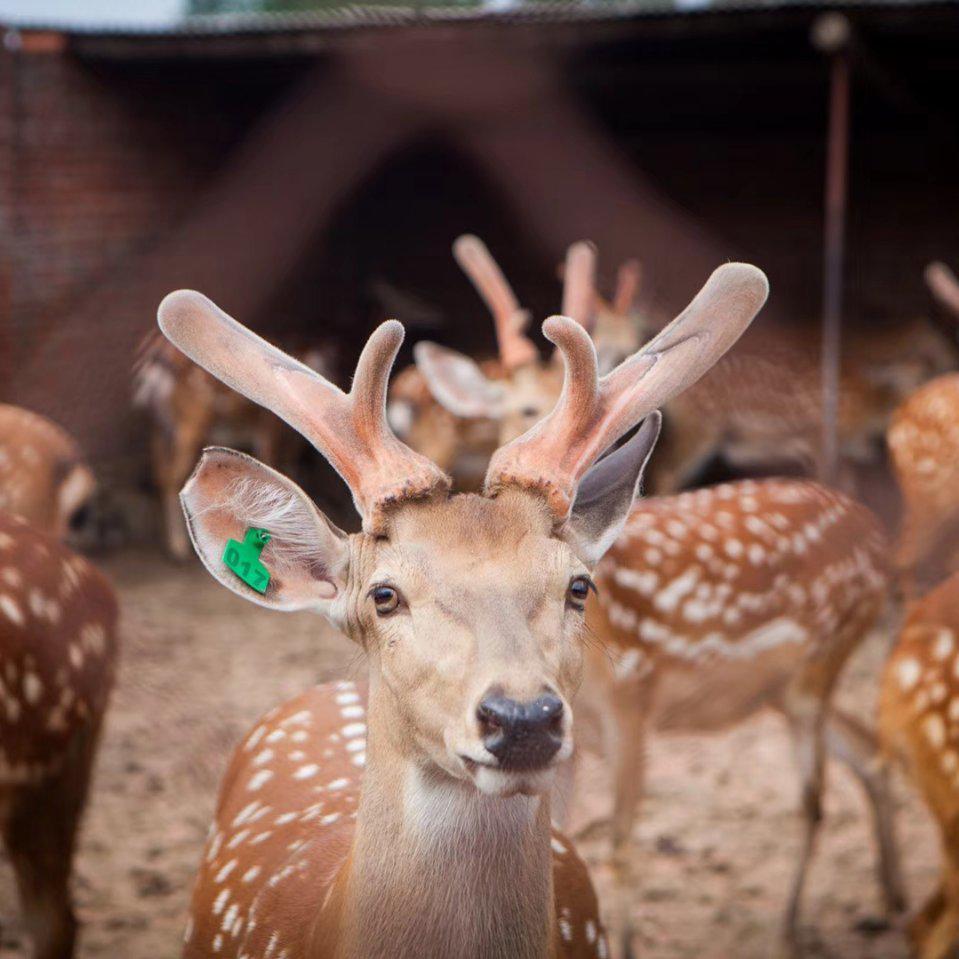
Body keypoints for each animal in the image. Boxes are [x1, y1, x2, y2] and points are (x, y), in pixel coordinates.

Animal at [131, 332, 334, 564]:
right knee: (173, 478)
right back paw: (180, 550)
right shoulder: (267, 431)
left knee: (161, 475)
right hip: (189, 425)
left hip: (157, 429)